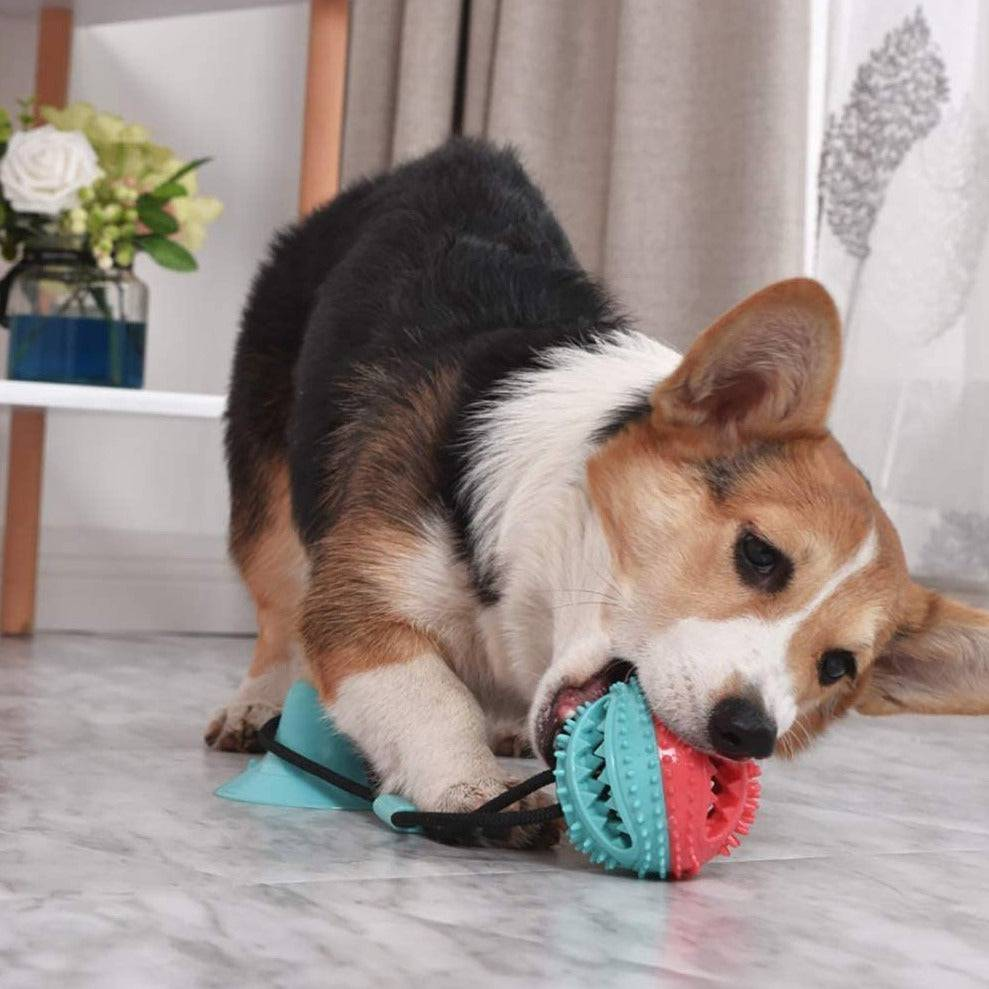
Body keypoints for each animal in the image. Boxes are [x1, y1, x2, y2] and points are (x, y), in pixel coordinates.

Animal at [208, 137, 988, 848]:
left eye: (837, 666)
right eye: (760, 554)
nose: (749, 733)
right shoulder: (358, 598)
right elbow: (429, 696)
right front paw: (470, 785)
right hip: (267, 498)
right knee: (276, 607)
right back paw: (254, 705)